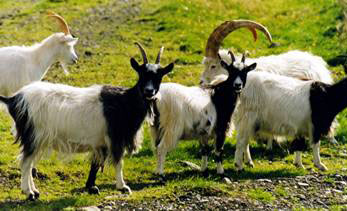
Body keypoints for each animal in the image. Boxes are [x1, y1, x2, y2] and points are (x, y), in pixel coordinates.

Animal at [0, 42, 174, 199]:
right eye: (142, 74)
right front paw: (123, 187)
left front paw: (91, 187)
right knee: (25, 162)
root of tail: (14, 99)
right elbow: (118, 162)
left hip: (38, 139)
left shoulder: (100, 142)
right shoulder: (116, 137)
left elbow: (95, 164)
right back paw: (29, 193)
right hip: (33, 135)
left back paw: (34, 191)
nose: (149, 91)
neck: (125, 101)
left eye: (159, 76)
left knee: (29, 163)